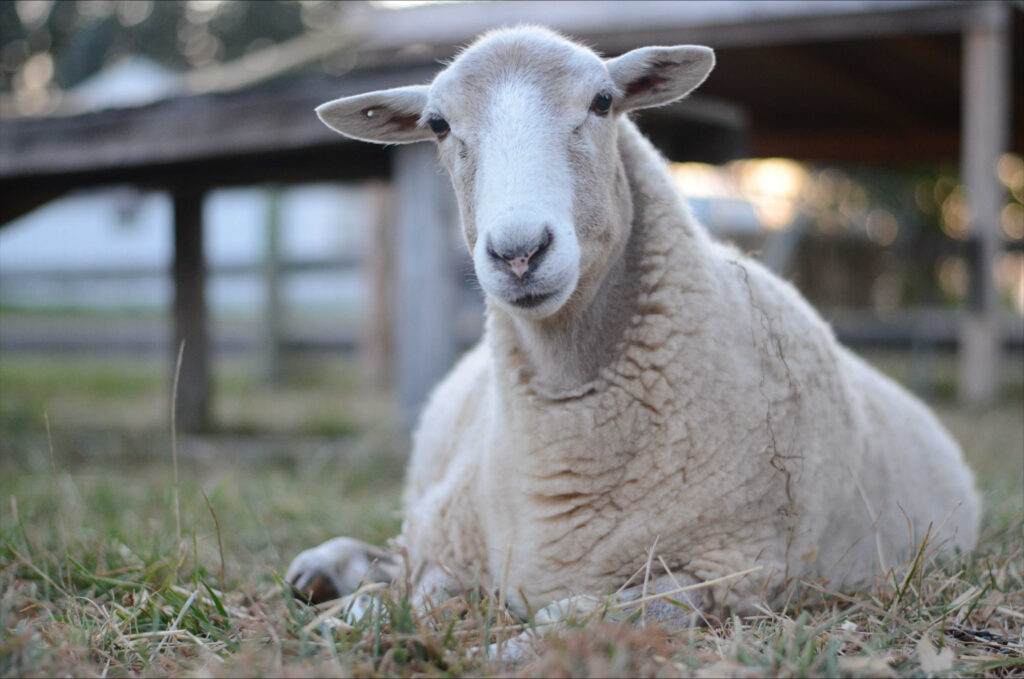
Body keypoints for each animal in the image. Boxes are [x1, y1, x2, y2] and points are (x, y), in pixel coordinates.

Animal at [287, 25, 980, 627]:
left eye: (603, 101)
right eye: (438, 124)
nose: (519, 252)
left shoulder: (732, 571)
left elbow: (589, 615)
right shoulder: (451, 542)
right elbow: (409, 599)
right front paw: (358, 615)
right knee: (393, 550)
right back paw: (324, 568)